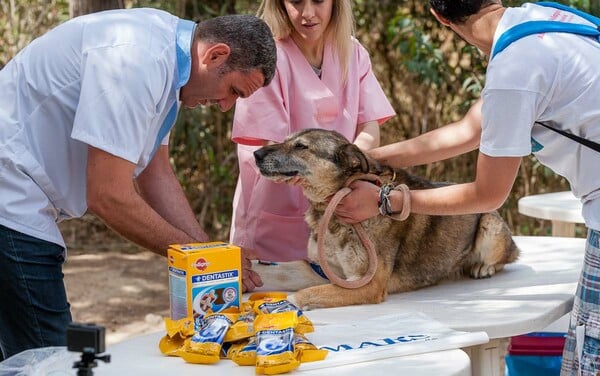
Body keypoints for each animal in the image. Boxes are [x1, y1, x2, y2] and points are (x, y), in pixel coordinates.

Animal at [251, 128, 516, 310]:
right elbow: (276, 273)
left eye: (301, 147)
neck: (333, 212)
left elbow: (307, 294)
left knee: (506, 257)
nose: (256, 153)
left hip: (490, 225)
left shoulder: (367, 284)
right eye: (285, 140)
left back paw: (482, 267)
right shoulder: (322, 270)